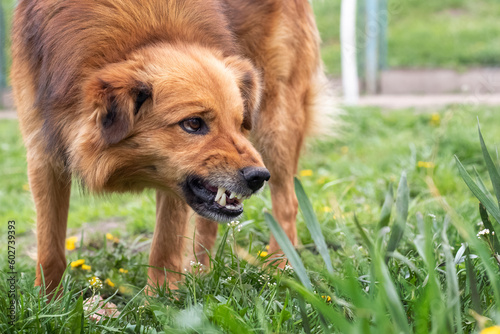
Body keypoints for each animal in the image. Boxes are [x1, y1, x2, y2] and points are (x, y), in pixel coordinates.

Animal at [9, 0, 334, 292]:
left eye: (239, 122)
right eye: (193, 124)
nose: (258, 177)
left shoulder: (177, 180)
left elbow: (165, 246)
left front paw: (158, 305)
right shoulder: (43, 153)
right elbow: (50, 248)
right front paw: (47, 303)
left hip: (276, 123)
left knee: (288, 203)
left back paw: (282, 267)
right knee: (210, 223)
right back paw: (202, 272)